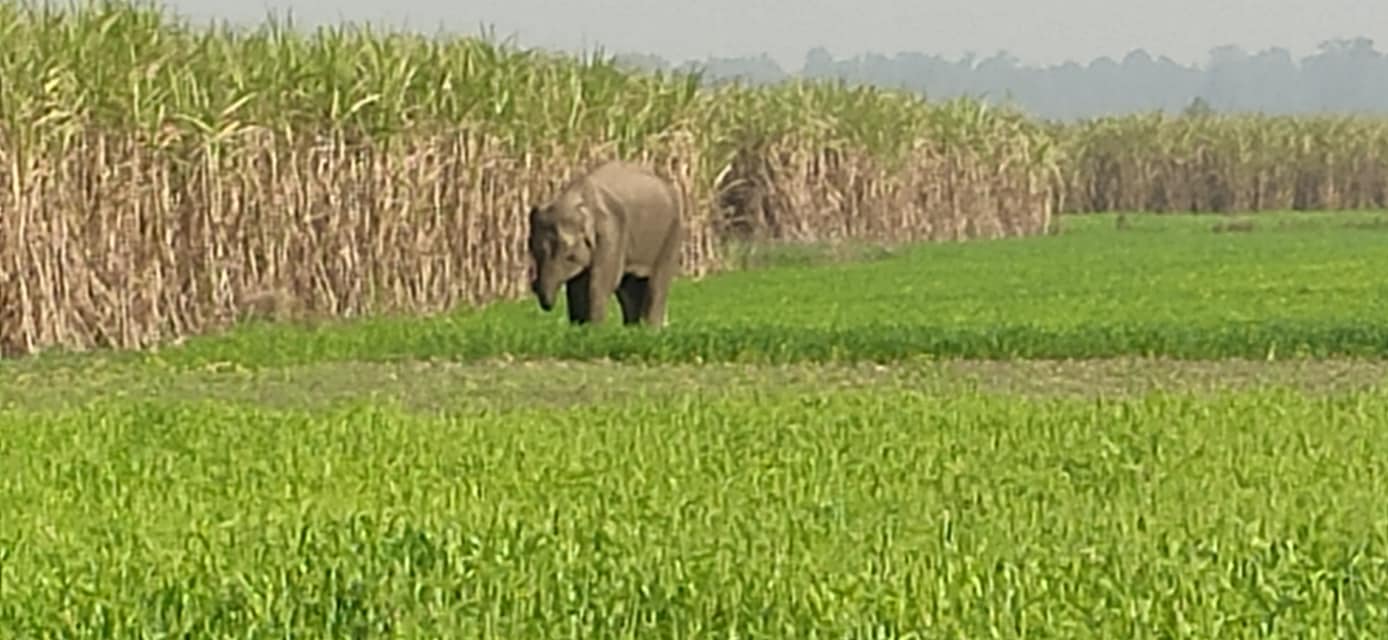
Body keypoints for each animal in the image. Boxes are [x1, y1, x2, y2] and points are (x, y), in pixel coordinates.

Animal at [524, 158, 682, 326]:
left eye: (569, 255)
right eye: (533, 251)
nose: (533, 286)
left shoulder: (611, 230)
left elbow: (602, 281)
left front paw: (595, 327)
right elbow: (576, 286)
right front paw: (580, 326)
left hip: (673, 230)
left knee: (657, 283)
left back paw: (650, 327)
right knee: (630, 287)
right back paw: (633, 327)